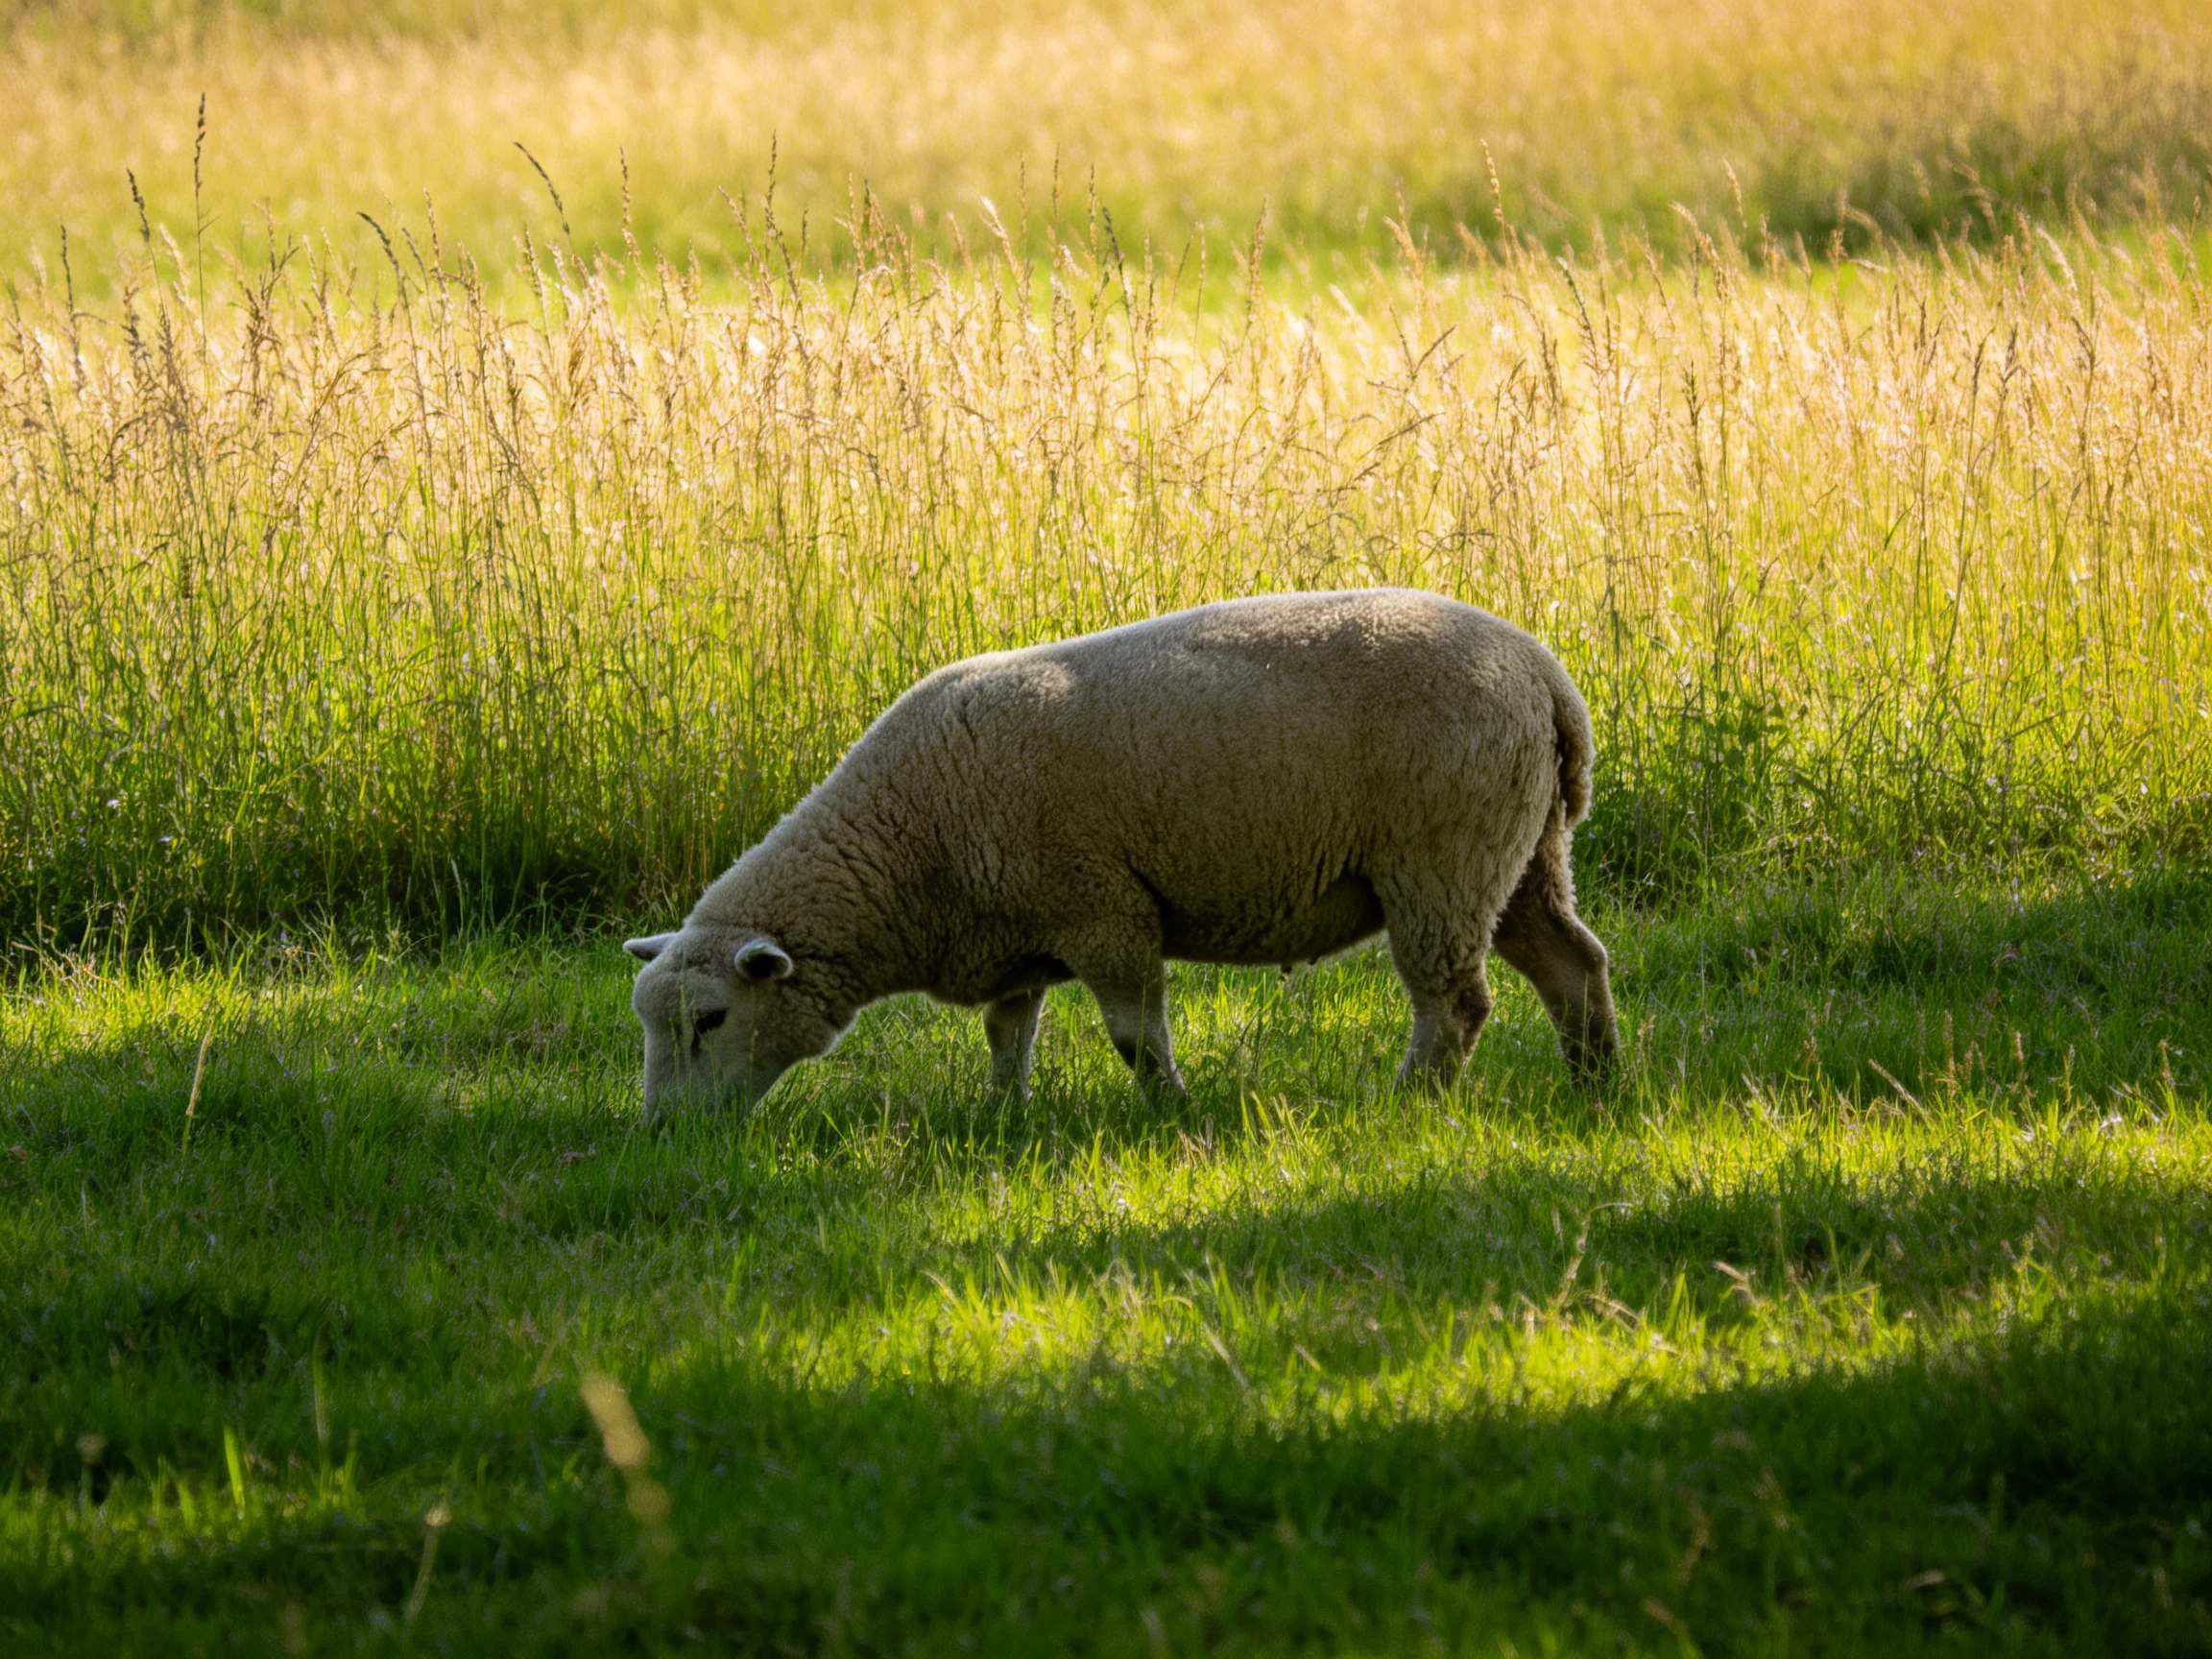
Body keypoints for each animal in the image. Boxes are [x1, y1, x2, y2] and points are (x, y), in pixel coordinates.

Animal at [624, 587, 1618, 1119]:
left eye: (709, 1020)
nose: (665, 1134)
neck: (905, 843)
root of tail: (1544, 676)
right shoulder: (1018, 931)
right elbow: (1007, 1035)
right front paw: (1002, 1116)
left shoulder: (1103, 909)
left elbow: (1135, 1037)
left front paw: (1174, 1113)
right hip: (1522, 852)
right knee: (1572, 963)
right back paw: (1597, 1084)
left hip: (1443, 855)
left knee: (1455, 1002)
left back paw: (1406, 1104)